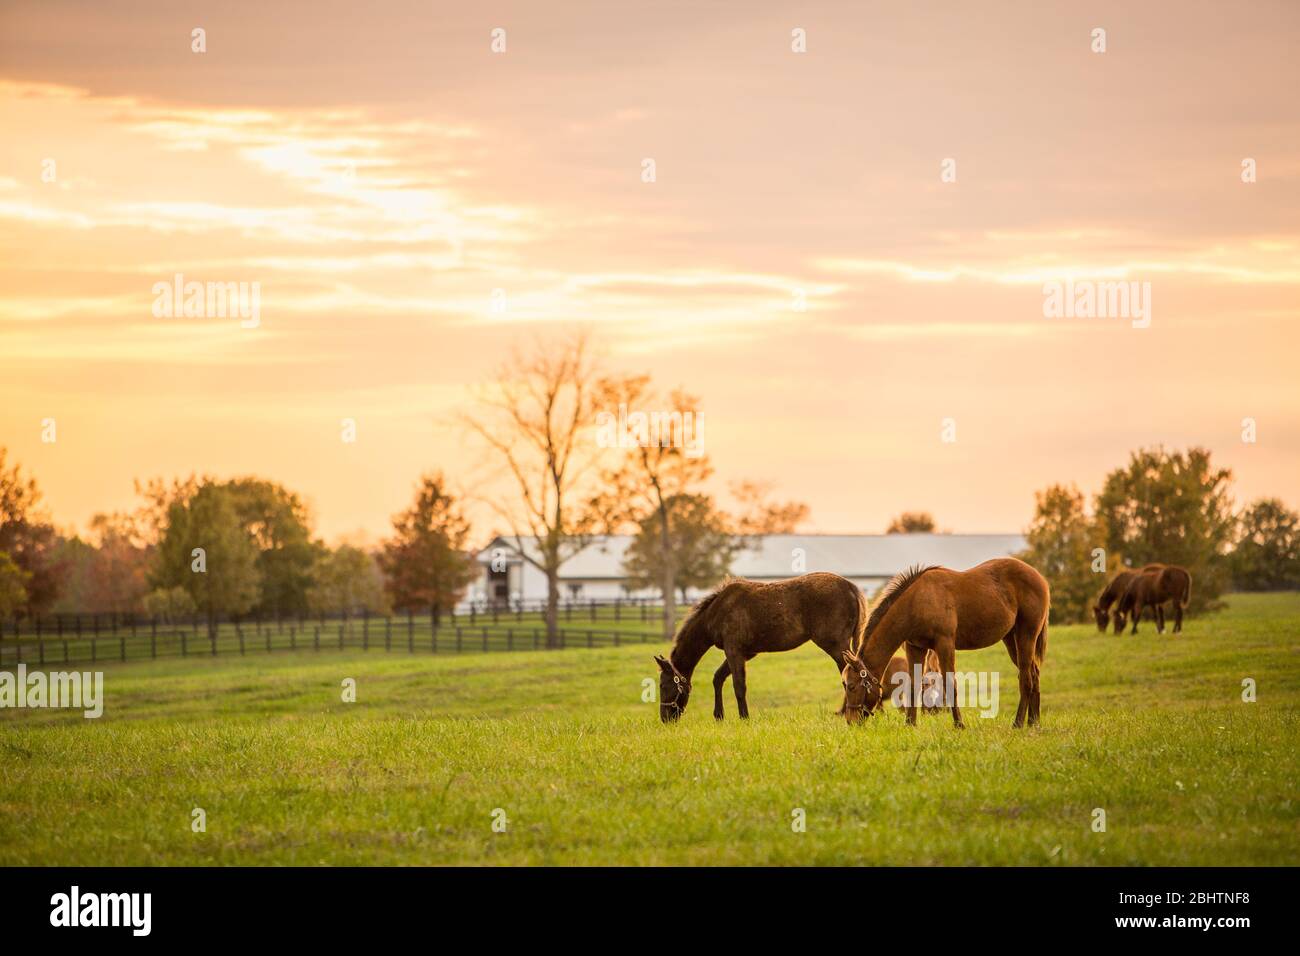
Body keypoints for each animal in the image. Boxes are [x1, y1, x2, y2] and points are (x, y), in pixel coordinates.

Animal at [653, 571, 867, 722]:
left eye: (663, 685)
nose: (665, 719)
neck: (716, 612)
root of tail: (850, 586)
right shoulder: (747, 652)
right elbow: (718, 678)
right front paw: (719, 715)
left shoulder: (734, 650)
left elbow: (738, 685)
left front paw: (744, 717)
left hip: (835, 645)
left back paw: (845, 711)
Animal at [841, 557, 1050, 729]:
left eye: (851, 686)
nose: (851, 721)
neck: (916, 601)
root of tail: (1039, 577)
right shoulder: (916, 647)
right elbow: (913, 685)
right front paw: (910, 723)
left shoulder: (944, 644)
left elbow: (950, 683)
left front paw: (959, 724)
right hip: (1011, 639)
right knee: (1034, 674)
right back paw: (1034, 722)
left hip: (1026, 635)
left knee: (1026, 678)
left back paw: (1018, 723)